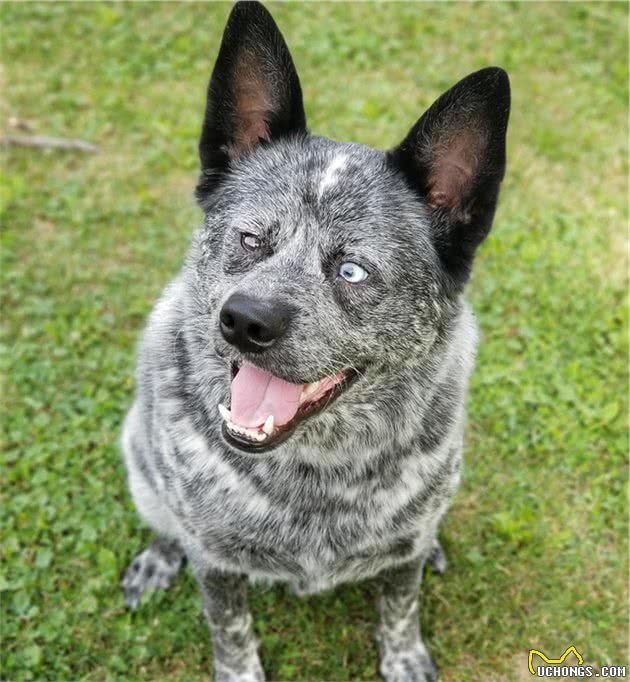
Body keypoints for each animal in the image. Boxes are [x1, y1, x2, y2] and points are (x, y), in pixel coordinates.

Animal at [121, 2, 512, 676]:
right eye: (252, 239)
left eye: (351, 271)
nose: (245, 320)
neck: (316, 471)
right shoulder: (215, 561)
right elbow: (230, 628)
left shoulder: (403, 556)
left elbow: (401, 602)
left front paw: (404, 658)